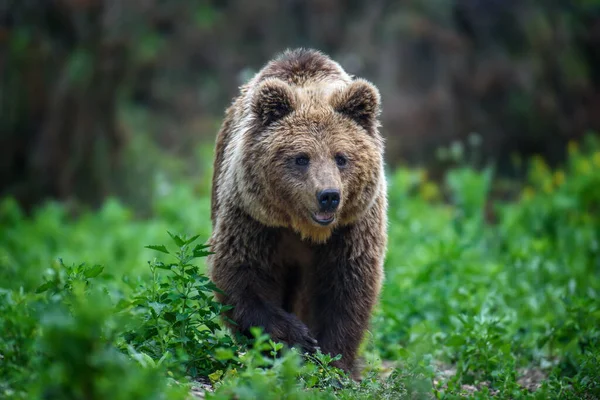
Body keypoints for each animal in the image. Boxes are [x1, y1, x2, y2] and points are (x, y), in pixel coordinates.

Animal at [209, 48, 386, 376]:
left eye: (341, 157)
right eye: (301, 158)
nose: (329, 196)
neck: (303, 228)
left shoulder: (353, 226)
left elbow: (348, 289)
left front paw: (334, 364)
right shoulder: (253, 218)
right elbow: (241, 275)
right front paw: (296, 338)